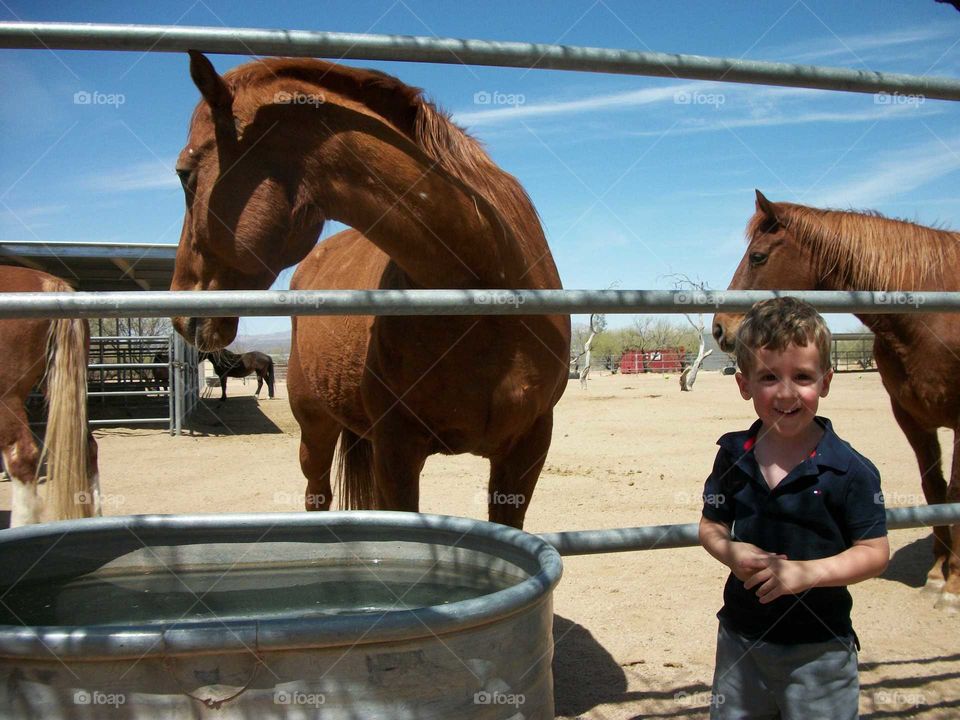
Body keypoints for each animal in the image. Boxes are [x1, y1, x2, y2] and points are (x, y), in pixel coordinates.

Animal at [171, 52, 568, 528]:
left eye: (185, 175)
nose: (180, 315)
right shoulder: (396, 448)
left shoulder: (528, 448)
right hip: (315, 429)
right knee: (317, 495)